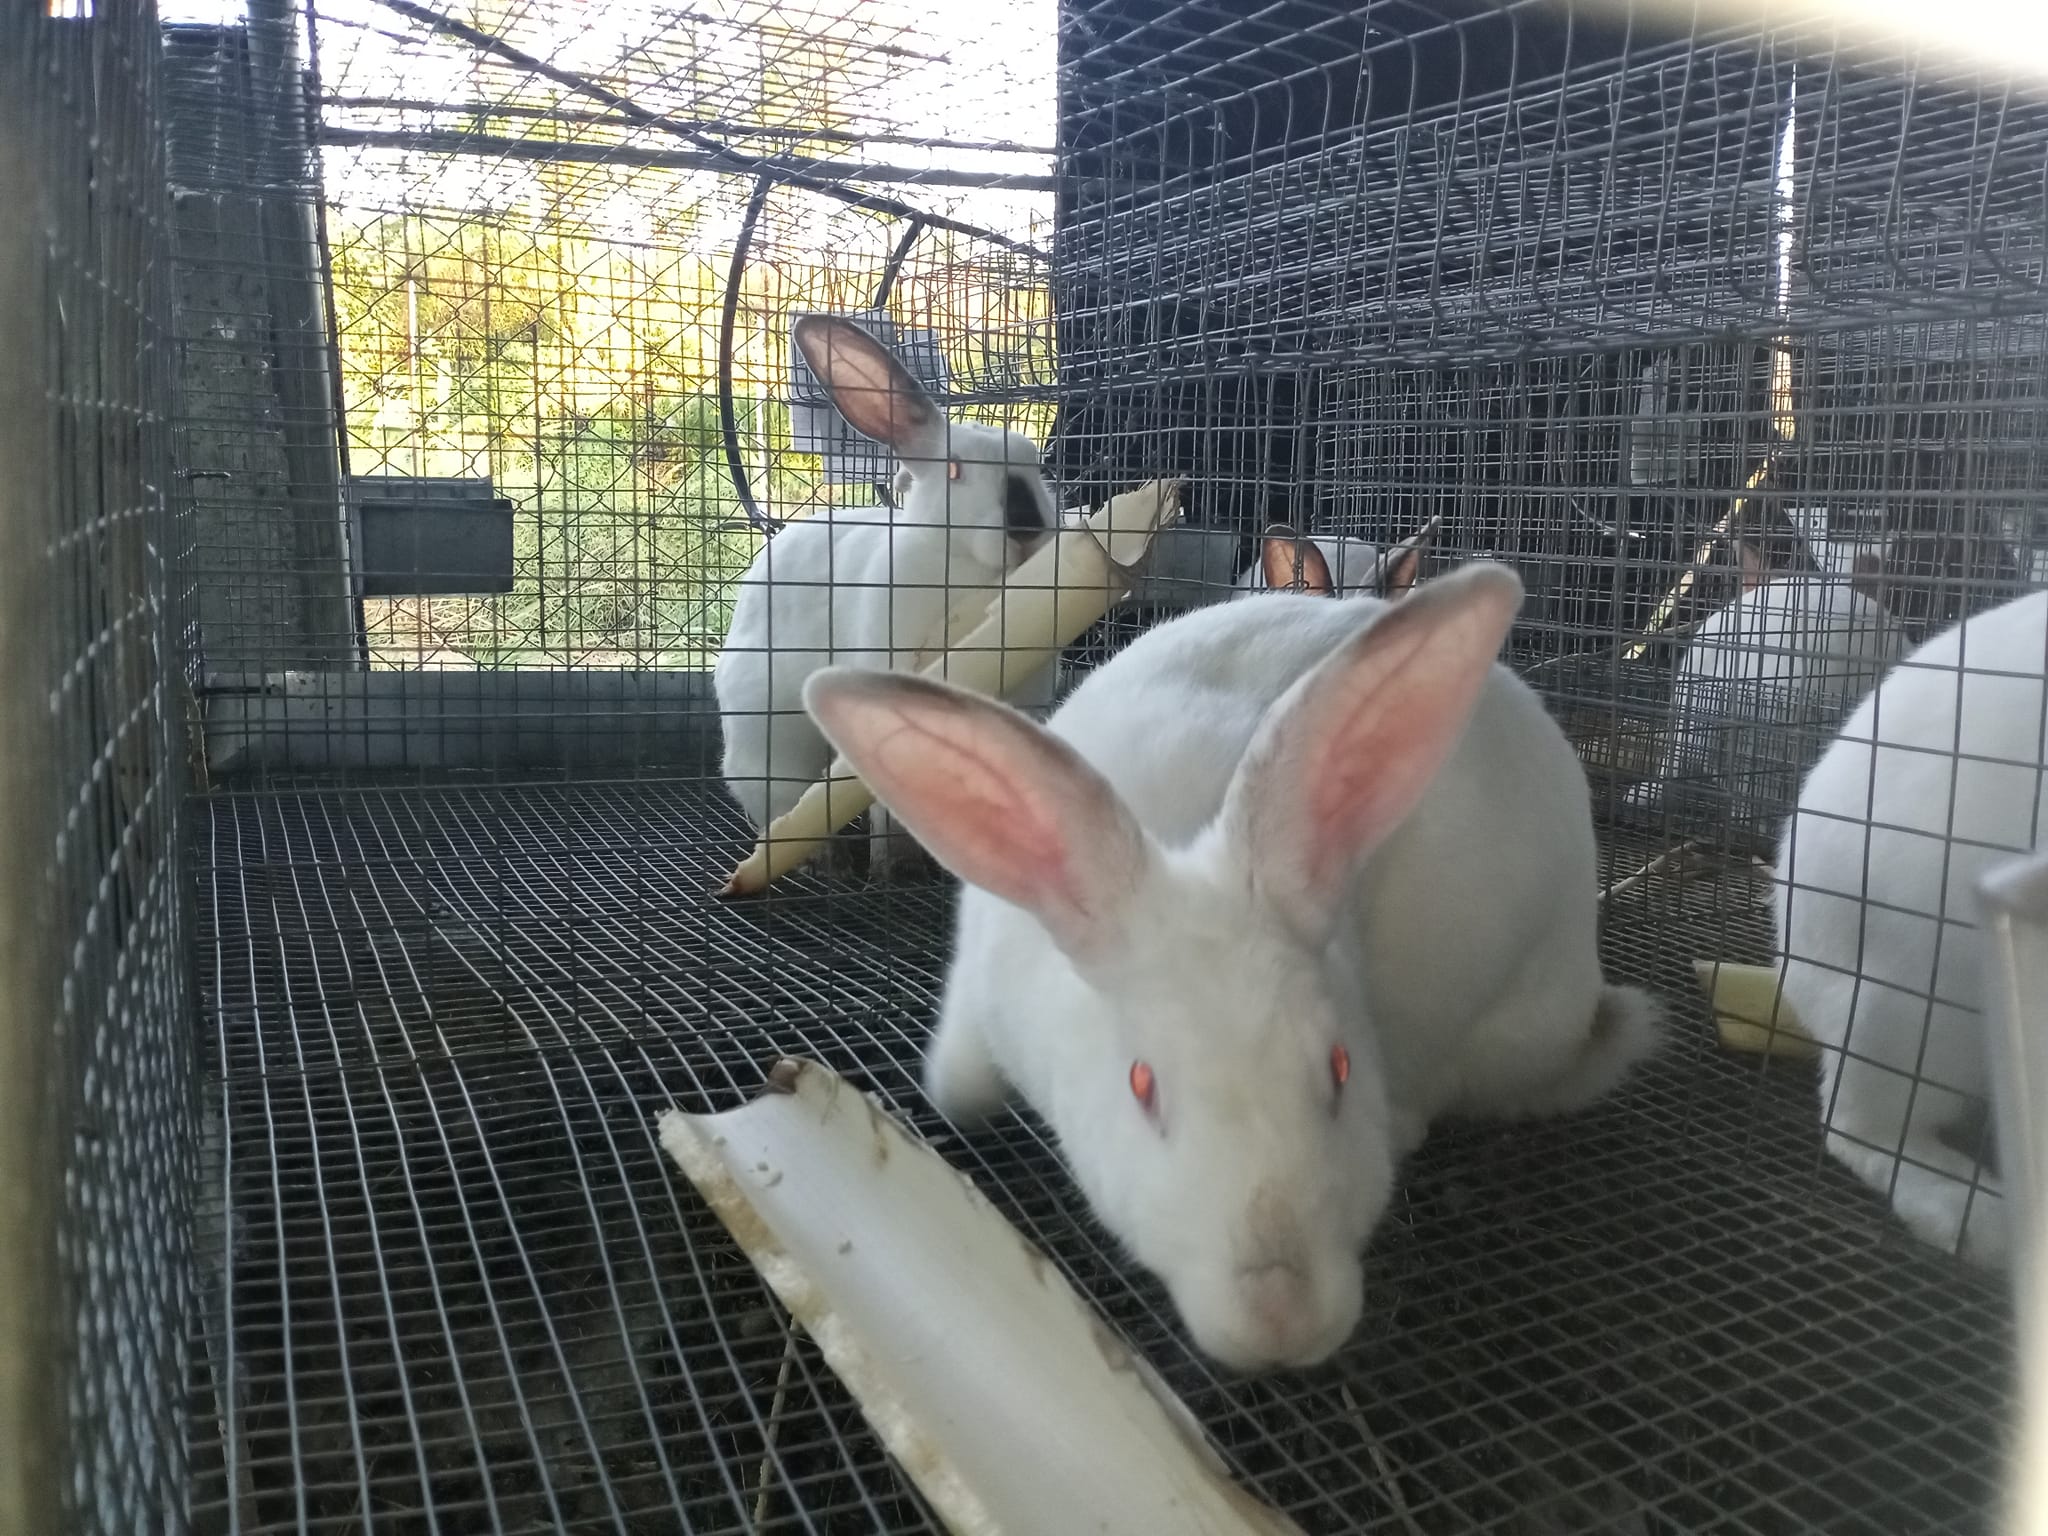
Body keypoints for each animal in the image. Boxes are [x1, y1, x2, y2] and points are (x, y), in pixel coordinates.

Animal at [714, 315, 1061, 877]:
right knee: (782, 807)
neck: (969, 571)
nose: (1028, 527)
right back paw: (826, 863)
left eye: (1037, 466)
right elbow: (887, 812)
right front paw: (891, 867)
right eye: (954, 470)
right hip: (769, 742)